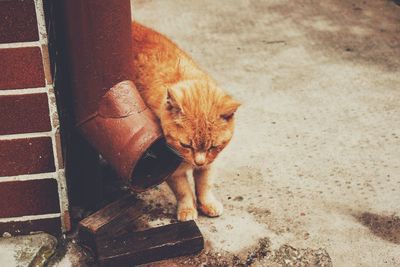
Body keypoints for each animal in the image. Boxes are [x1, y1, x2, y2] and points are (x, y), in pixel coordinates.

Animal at [131, 21, 239, 222]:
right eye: (186, 145)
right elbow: (184, 191)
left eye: (213, 147)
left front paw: (208, 204)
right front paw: (188, 209)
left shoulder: (209, 164)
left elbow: (204, 186)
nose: (198, 162)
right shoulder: (171, 169)